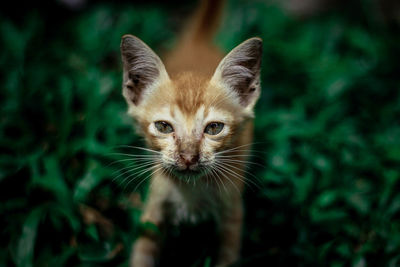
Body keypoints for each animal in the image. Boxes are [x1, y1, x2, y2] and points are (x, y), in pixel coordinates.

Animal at [119, 1, 262, 266]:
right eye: (163, 127)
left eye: (214, 128)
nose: (187, 157)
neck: (191, 188)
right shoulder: (153, 210)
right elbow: (142, 252)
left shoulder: (232, 213)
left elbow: (228, 256)